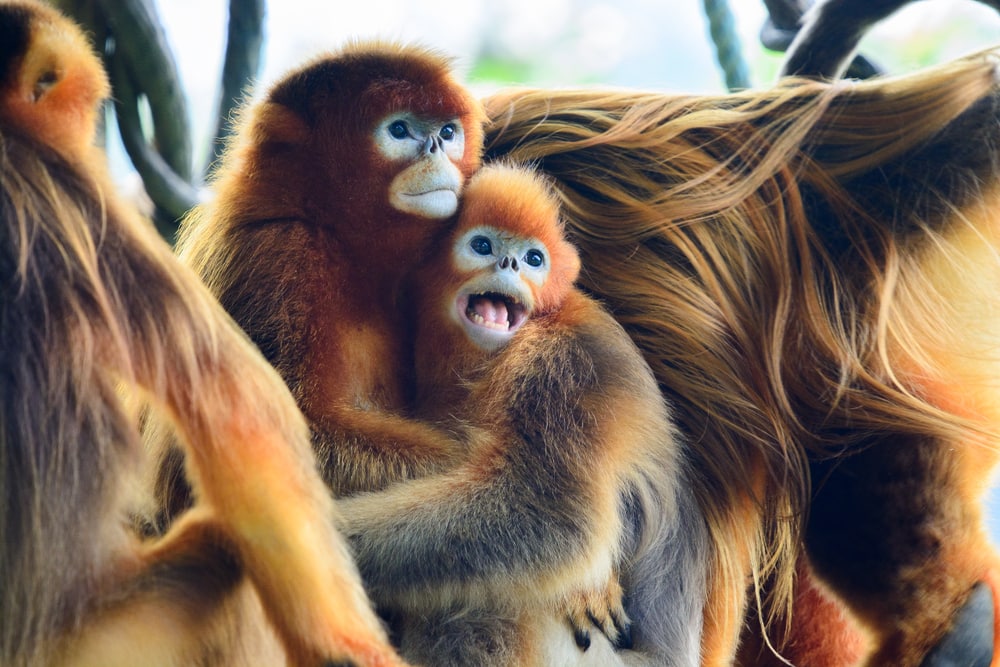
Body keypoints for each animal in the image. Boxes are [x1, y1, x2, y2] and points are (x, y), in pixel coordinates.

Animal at [0, 2, 406, 665]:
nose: (87, 140)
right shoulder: (78, 196)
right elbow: (236, 407)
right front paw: (344, 645)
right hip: (102, 636)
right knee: (224, 553)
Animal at [332, 161, 707, 666]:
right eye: (483, 246)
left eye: (533, 259)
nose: (508, 264)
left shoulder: (563, 365)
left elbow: (545, 515)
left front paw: (325, 536)